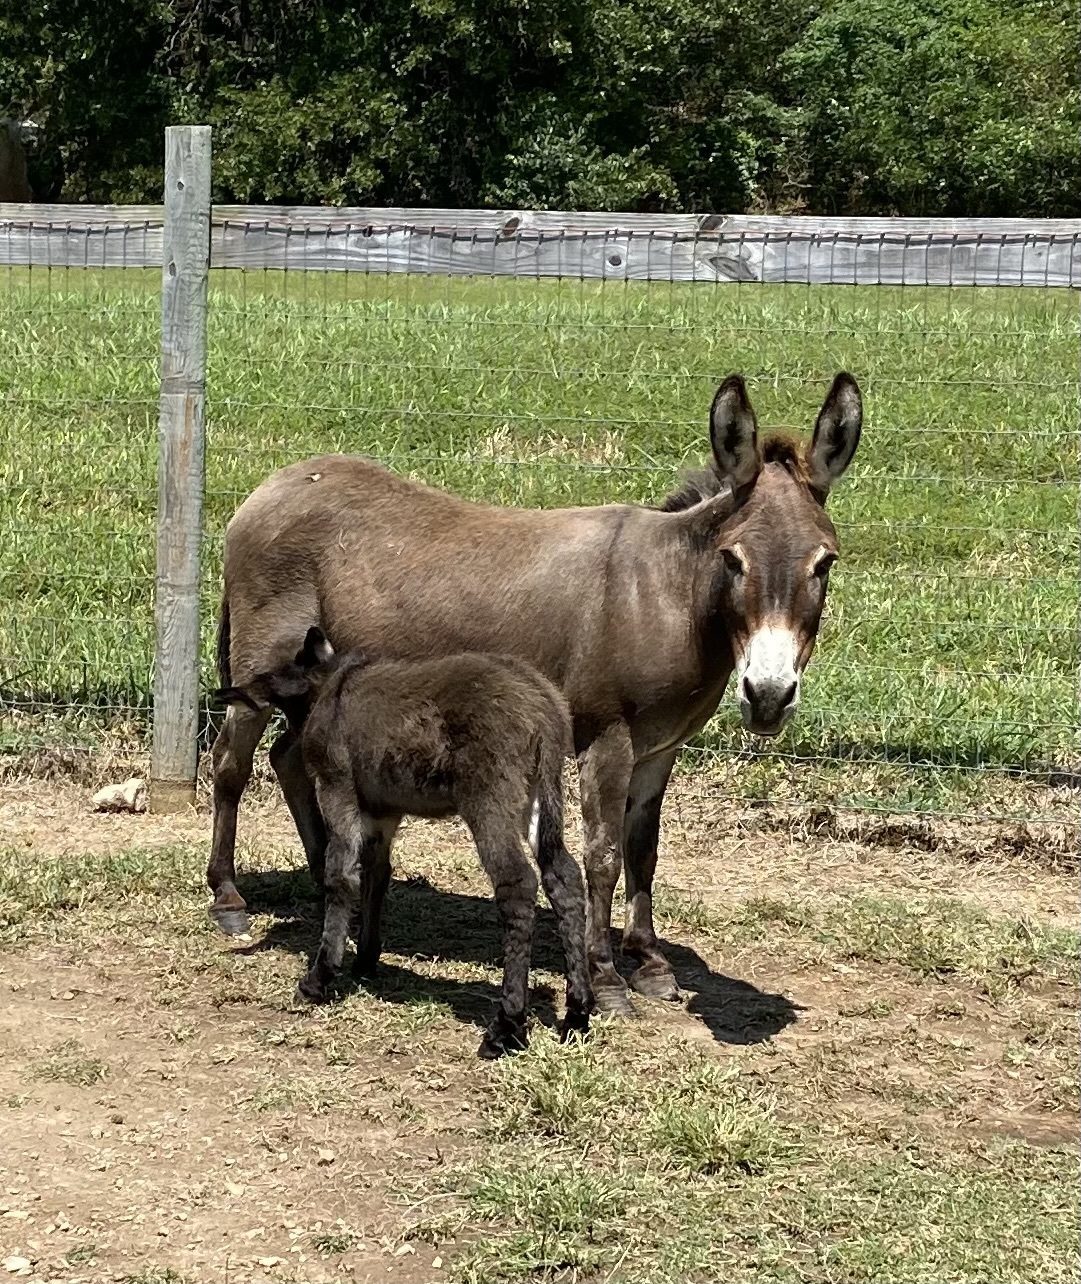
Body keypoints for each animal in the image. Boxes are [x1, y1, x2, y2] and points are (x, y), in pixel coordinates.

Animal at [215, 626, 593, 1058]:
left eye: (276, 685)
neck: (328, 686)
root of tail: (543, 705)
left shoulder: (337, 790)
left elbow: (340, 876)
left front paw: (319, 978)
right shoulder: (382, 812)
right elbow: (376, 875)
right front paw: (364, 961)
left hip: (489, 798)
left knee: (517, 884)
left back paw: (506, 1026)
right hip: (539, 794)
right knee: (564, 878)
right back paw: (577, 1015)